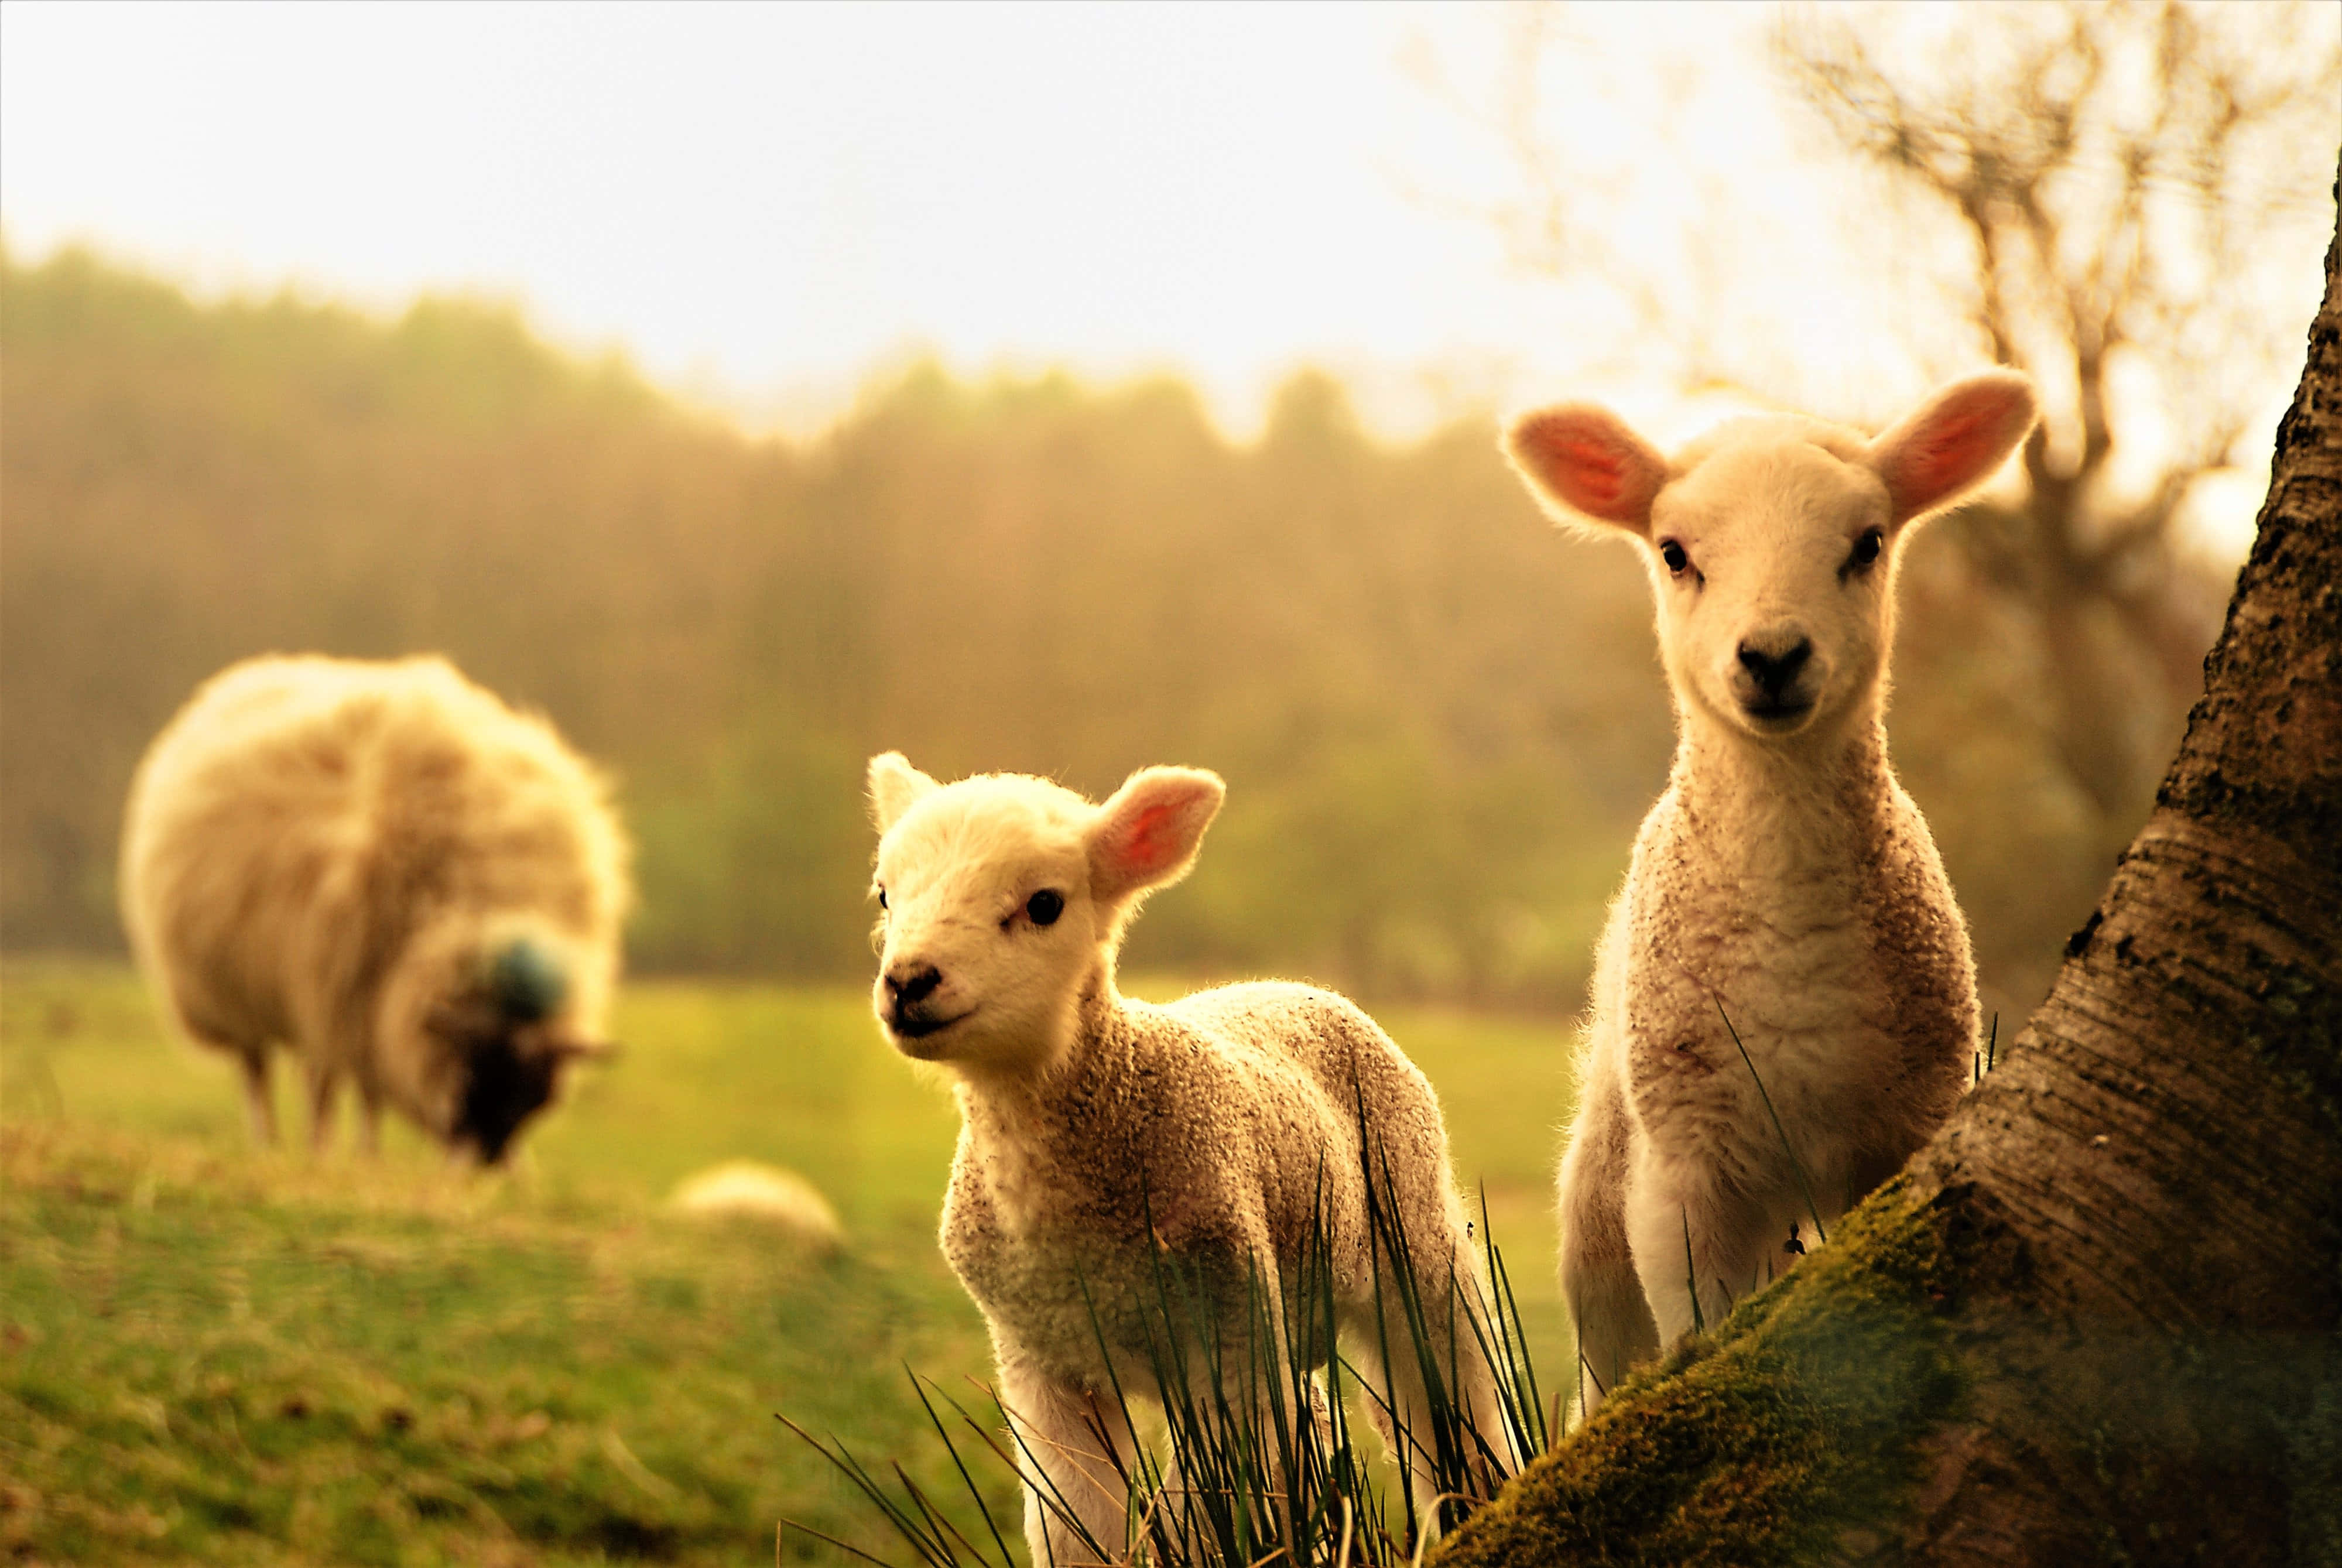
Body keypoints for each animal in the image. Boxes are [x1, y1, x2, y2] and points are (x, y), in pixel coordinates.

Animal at [119, 653, 630, 1164]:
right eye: (472, 1069)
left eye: (536, 1096)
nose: (485, 1165)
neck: (484, 908)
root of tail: (250, 674)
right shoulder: (343, 990)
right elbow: (343, 1088)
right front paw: (343, 1156)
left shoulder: (369, 1005)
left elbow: (370, 1091)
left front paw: (369, 1159)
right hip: (232, 995)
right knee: (259, 1073)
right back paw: (274, 1144)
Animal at [866, 753, 1511, 1566]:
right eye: (885, 894)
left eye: (1044, 903)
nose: (908, 982)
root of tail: (1295, 984)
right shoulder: (1043, 1362)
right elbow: (1075, 1525)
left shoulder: (1227, 1336)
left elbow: (1203, 1517)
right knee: (1313, 1422)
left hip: (1414, 1232)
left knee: (1454, 1405)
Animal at [1502, 371, 2039, 1412]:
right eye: (1674, 553)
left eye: (1867, 544)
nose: (1774, 656)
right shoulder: (1686, 1170)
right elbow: (1694, 1332)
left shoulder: (1902, 1130)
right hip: (1602, 1193)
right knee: (1604, 1357)